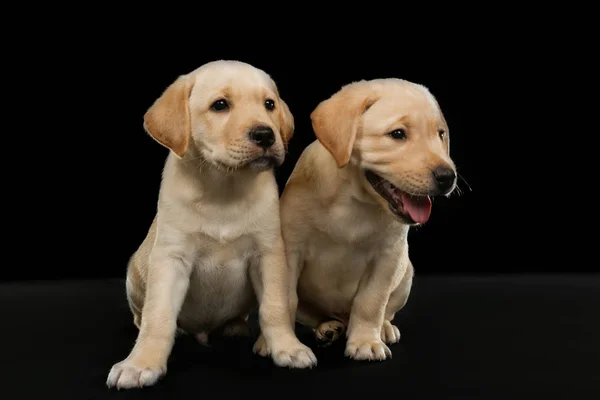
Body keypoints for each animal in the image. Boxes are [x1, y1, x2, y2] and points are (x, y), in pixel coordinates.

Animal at [106, 61, 318, 390]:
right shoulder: (171, 258)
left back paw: (237, 327)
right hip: (135, 275)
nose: (265, 135)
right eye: (220, 105)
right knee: (141, 316)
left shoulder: (268, 254)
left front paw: (287, 346)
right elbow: (159, 317)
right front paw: (141, 363)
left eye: (269, 104)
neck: (224, 189)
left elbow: (275, 307)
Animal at [278, 77, 458, 360]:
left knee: (385, 311)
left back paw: (382, 328)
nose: (447, 177)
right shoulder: (291, 250)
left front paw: (365, 341)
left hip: (405, 274)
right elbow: (286, 299)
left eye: (440, 134)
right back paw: (328, 327)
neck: (354, 202)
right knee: (315, 314)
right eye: (397, 134)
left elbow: (371, 302)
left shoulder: (388, 257)